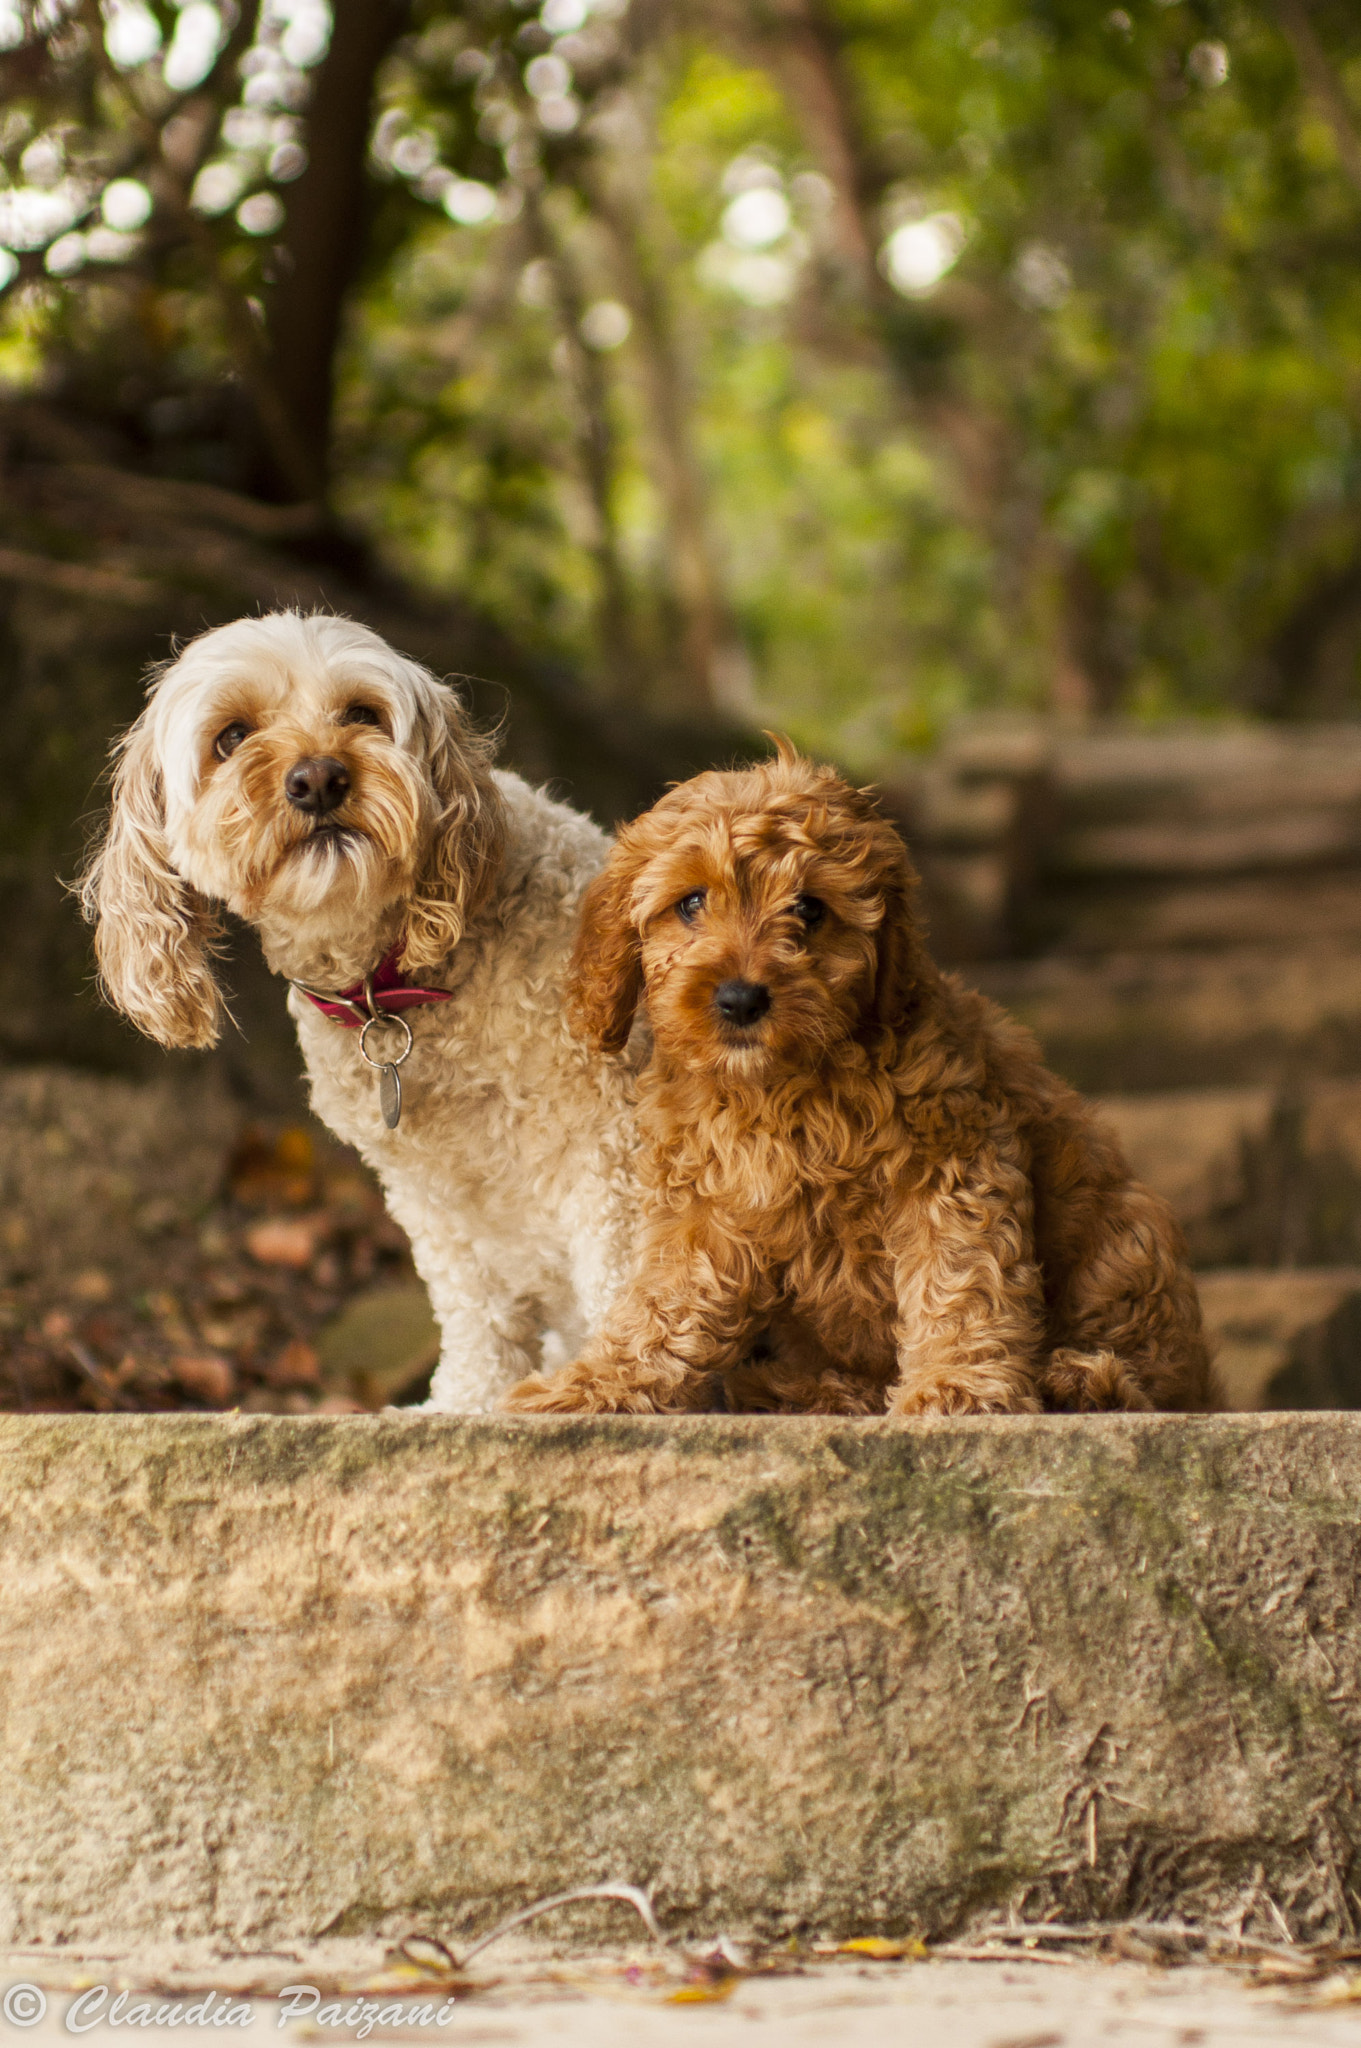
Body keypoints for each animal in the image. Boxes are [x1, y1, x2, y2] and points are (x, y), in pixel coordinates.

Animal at [82, 606, 638, 1409]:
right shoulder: (435, 1200)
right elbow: (477, 1314)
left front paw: (622, 1387)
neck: (394, 977)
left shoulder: (613, 1146)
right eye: (231, 737)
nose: (318, 778)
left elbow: (629, 1277)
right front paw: (469, 1405)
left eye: (363, 714)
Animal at [501, 745, 1219, 1417]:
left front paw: (956, 1387)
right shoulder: (705, 1204)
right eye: (691, 903)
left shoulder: (952, 1162)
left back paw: (1083, 1381)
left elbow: (958, 1276)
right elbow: (664, 1303)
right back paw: (804, 1388)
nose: (739, 999)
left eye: (809, 910)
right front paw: (599, 1384)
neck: (777, 1086)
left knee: (1157, 1377)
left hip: (1127, 1236)